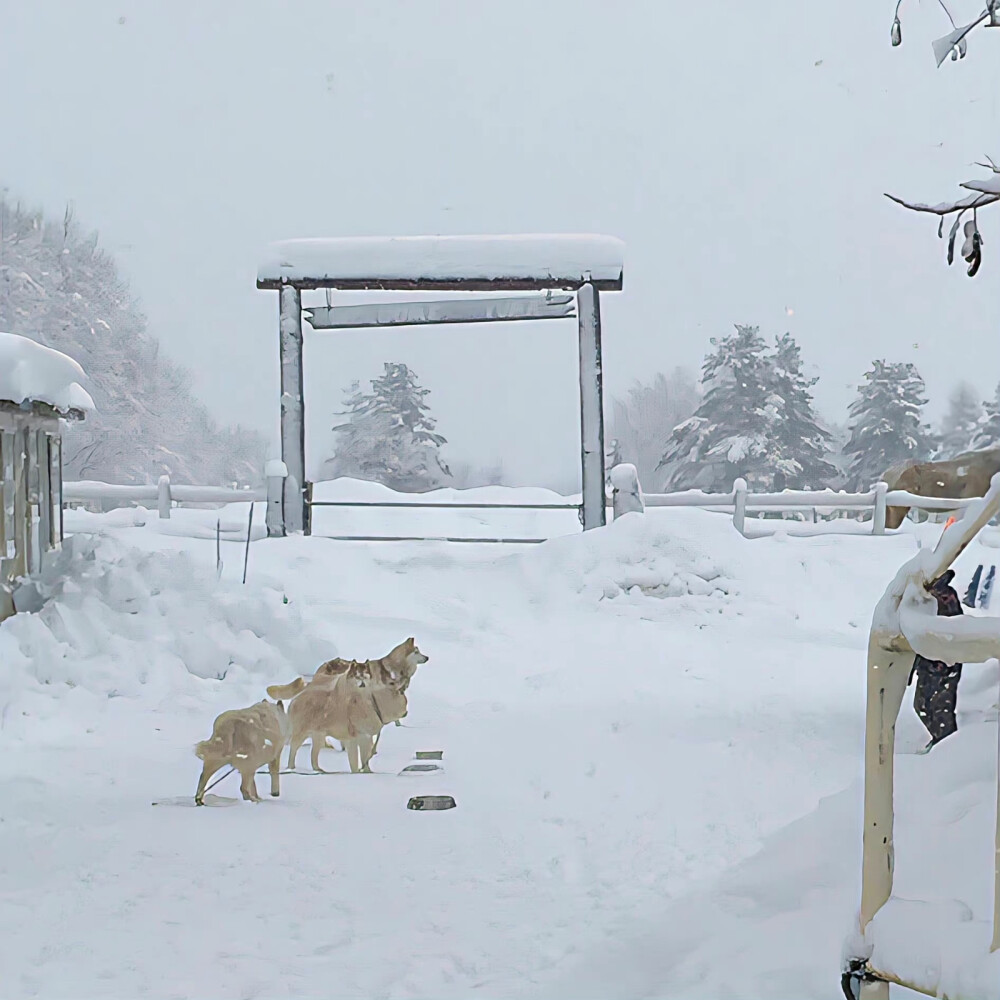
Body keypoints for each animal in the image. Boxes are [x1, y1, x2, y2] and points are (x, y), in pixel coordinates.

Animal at [274, 640, 430, 772]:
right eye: (416, 651)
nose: (427, 657)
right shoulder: (358, 737)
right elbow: (358, 761)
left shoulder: (361, 738)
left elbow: (364, 759)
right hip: (301, 733)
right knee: (293, 750)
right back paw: (292, 768)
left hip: (317, 735)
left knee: (313, 758)